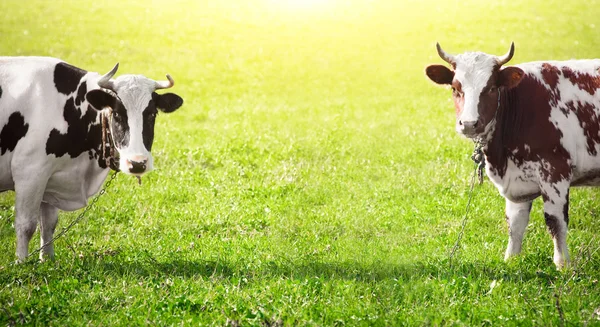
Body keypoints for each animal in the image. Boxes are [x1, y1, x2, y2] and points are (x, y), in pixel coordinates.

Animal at [0, 57, 183, 262]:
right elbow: (26, 224)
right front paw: (22, 263)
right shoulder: (29, 172)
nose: (137, 163)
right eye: (117, 114)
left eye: (152, 114)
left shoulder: (50, 177)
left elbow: (48, 223)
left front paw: (47, 260)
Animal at [424, 43, 600, 270]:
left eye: (491, 88)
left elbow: (555, 221)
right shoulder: (516, 177)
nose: (469, 124)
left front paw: (562, 264)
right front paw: (511, 259)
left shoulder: (555, 171)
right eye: (455, 88)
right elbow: (515, 223)